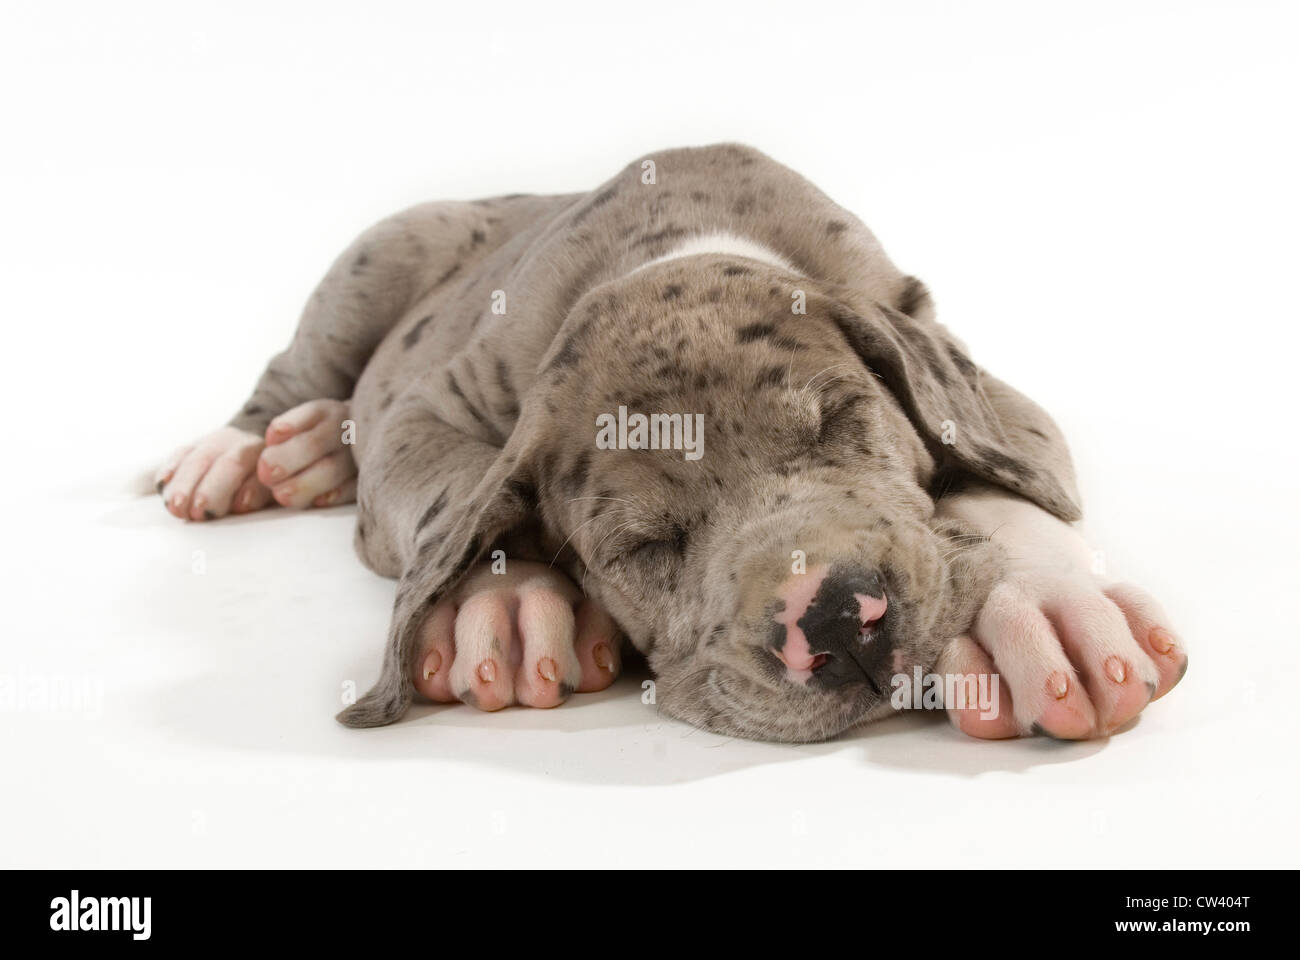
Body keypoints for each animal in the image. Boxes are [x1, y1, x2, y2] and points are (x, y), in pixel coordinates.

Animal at [154, 141, 1190, 738]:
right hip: (379, 260)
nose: (829, 619)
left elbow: (1002, 478)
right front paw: (509, 601)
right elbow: (454, 497)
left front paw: (1047, 610)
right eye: (644, 548)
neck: (669, 246)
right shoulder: (429, 409)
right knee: (296, 371)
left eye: (842, 421)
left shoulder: (968, 367)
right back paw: (245, 453)